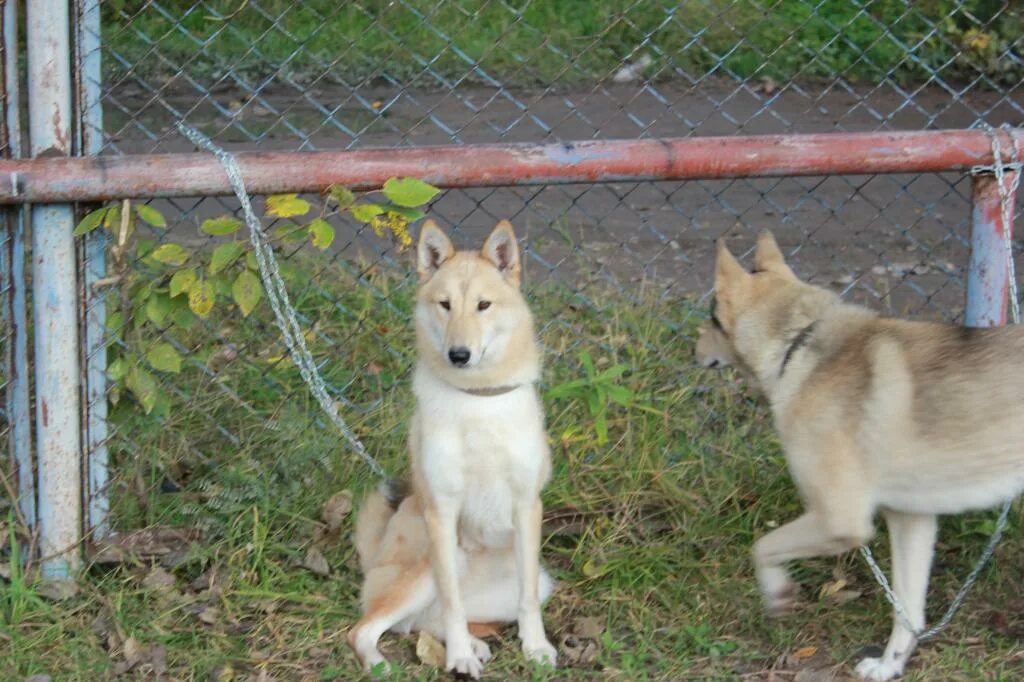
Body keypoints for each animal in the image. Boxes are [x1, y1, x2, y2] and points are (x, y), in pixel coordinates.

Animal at [352, 219, 561, 675]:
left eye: (484, 305)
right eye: (444, 305)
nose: (459, 354)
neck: (476, 399)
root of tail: (375, 557)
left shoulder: (526, 507)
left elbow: (527, 602)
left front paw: (535, 647)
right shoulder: (442, 513)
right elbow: (452, 602)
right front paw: (459, 658)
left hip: (538, 577)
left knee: (424, 621)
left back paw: (473, 642)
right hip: (431, 567)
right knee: (368, 628)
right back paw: (385, 663)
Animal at [696, 231, 1024, 675]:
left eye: (712, 318)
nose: (694, 346)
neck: (797, 343)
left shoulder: (839, 521)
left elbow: (762, 547)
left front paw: (777, 593)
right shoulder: (910, 521)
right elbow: (908, 610)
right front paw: (890, 666)